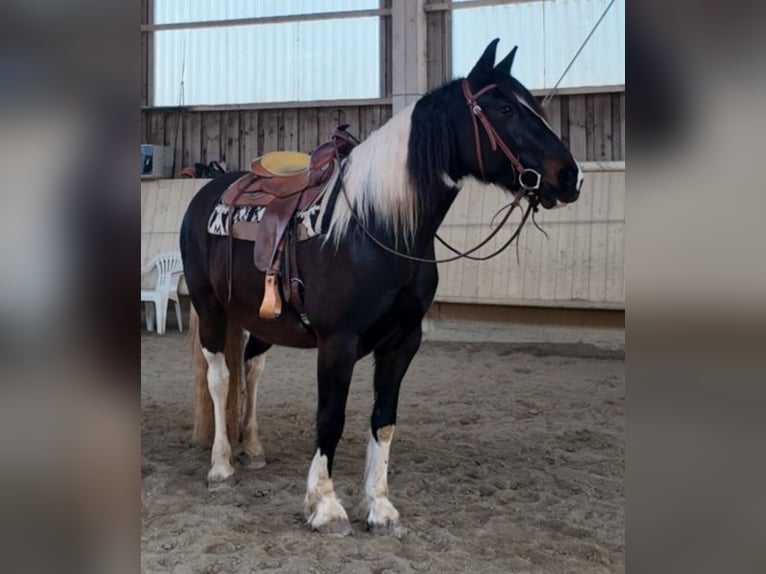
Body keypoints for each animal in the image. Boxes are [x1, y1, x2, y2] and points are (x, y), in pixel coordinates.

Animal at [182, 39, 584, 536]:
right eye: (506, 108)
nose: (570, 177)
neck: (377, 227)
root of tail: (208, 192)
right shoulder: (337, 343)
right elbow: (330, 419)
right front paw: (325, 506)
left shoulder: (402, 343)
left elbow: (383, 420)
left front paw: (379, 506)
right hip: (211, 309)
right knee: (219, 378)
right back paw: (221, 464)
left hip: (261, 320)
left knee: (252, 369)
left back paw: (252, 447)